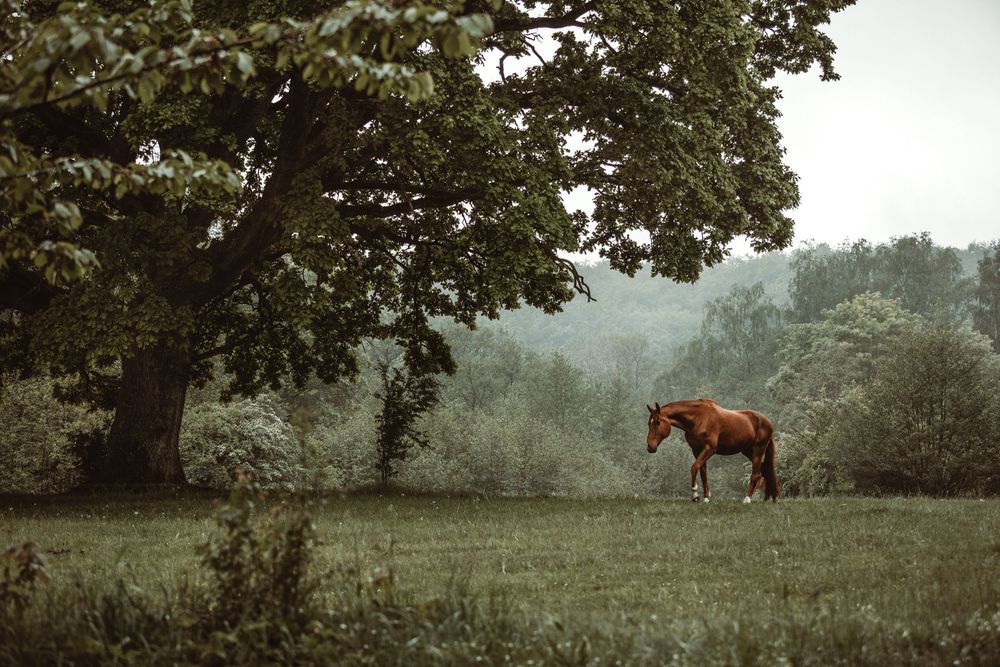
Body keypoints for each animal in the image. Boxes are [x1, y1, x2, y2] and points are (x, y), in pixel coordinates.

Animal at [645, 399, 779, 503]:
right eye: (649, 423)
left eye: (658, 422)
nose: (650, 447)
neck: (699, 418)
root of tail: (767, 422)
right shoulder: (697, 450)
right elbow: (703, 473)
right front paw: (706, 498)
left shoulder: (709, 449)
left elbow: (694, 467)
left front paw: (695, 495)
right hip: (747, 451)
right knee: (764, 470)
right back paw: (771, 498)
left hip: (757, 451)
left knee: (755, 474)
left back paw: (747, 499)